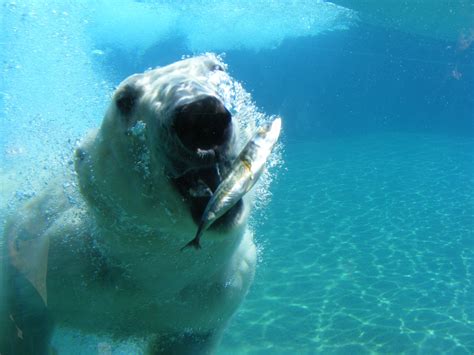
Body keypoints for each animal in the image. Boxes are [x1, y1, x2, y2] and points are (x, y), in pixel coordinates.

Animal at [0, 54, 262, 354]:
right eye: (124, 99)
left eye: (216, 68)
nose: (201, 115)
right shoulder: (55, 256)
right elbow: (23, 311)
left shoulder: (214, 295)